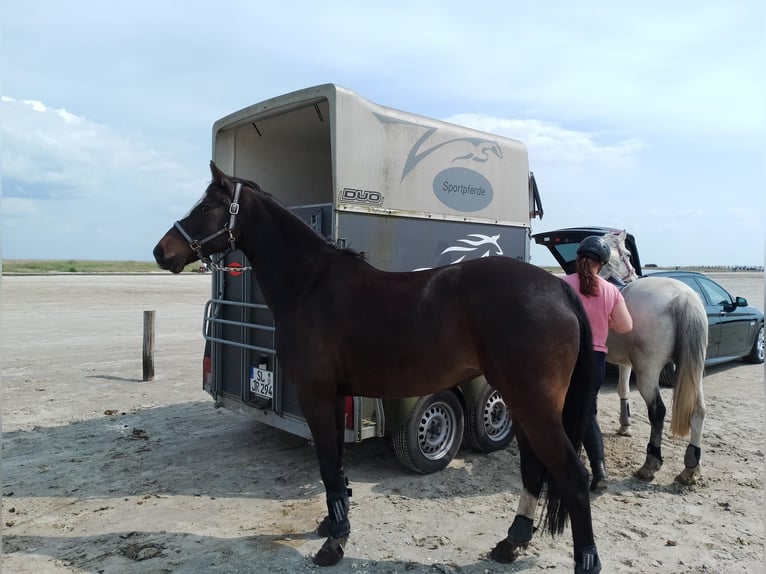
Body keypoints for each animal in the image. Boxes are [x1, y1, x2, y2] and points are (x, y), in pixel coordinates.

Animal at [154, 161, 603, 573]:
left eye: (206, 207)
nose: (161, 251)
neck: (310, 284)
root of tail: (557, 288)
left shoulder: (316, 395)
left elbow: (327, 465)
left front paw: (334, 545)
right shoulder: (335, 396)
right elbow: (334, 466)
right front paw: (332, 525)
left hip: (533, 405)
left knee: (571, 475)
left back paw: (584, 559)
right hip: (522, 402)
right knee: (534, 467)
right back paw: (511, 543)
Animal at [600, 231, 708, 485]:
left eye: (628, 253)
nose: (633, 274)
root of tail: (683, 296)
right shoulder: (624, 363)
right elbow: (622, 390)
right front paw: (625, 426)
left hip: (648, 372)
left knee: (658, 411)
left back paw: (650, 464)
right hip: (694, 371)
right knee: (698, 410)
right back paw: (691, 468)